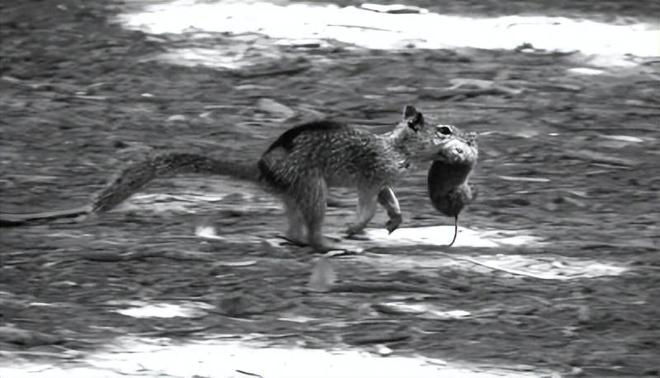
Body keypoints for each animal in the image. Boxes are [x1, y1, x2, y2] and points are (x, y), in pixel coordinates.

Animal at [0, 105, 474, 251]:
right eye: (443, 130)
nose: (469, 138)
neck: (397, 147)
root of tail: (264, 171)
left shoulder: (381, 179)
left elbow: (389, 199)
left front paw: (393, 220)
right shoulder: (370, 174)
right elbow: (369, 201)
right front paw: (359, 226)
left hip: (298, 194)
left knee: (293, 229)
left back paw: (297, 239)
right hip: (313, 187)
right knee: (310, 231)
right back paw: (332, 245)